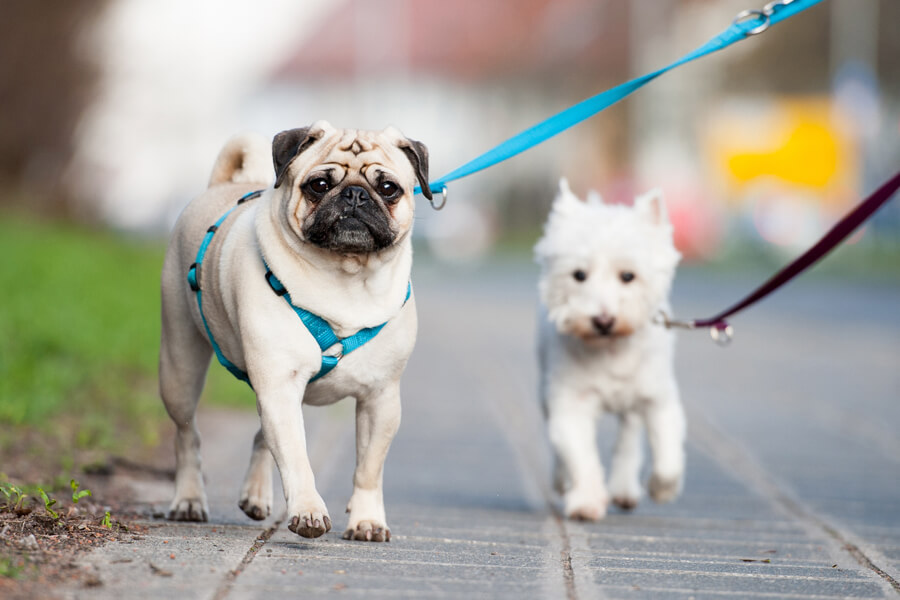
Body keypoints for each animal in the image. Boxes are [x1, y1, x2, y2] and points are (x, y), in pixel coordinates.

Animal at [536, 179, 684, 520]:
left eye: (628, 276)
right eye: (579, 275)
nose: (602, 320)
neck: (610, 350)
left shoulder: (659, 398)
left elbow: (667, 452)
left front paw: (662, 489)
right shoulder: (570, 401)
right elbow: (579, 455)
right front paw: (586, 502)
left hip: (633, 402)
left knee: (629, 434)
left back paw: (625, 487)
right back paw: (563, 481)